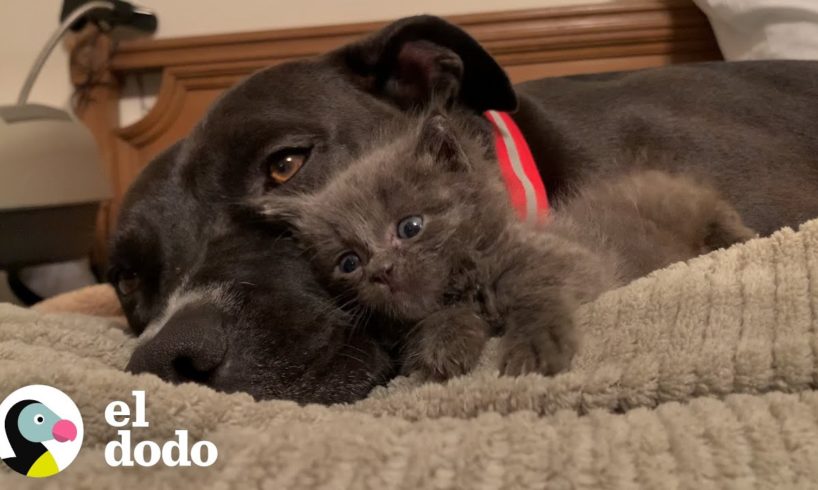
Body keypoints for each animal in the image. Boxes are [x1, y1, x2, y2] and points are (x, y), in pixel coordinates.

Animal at [260, 114, 752, 378]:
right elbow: (438, 317)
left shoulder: (576, 260)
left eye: (410, 226)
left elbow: (532, 285)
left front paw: (532, 346)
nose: (380, 269)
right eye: (348, 262)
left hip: (697, 206)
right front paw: (442, 347)